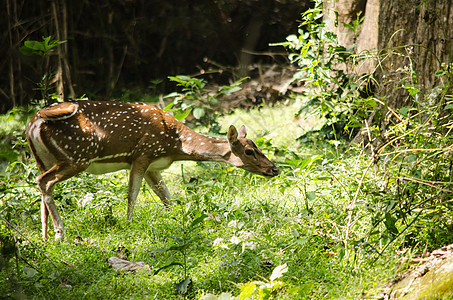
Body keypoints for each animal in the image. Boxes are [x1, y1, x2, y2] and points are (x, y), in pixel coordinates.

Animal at [26, 101, 278, 241]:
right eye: (249, 151)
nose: (274, 169)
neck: (176, 143)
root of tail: (33, 124)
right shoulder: (143, 154)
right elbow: (132, 194)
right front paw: (129, 225)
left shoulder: (153, 164)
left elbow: (166, 196)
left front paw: (179, 219)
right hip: (77, 156)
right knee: (45, 182)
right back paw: (59, 233)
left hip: (44, 159)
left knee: (41, 185)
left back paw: (44, 237)